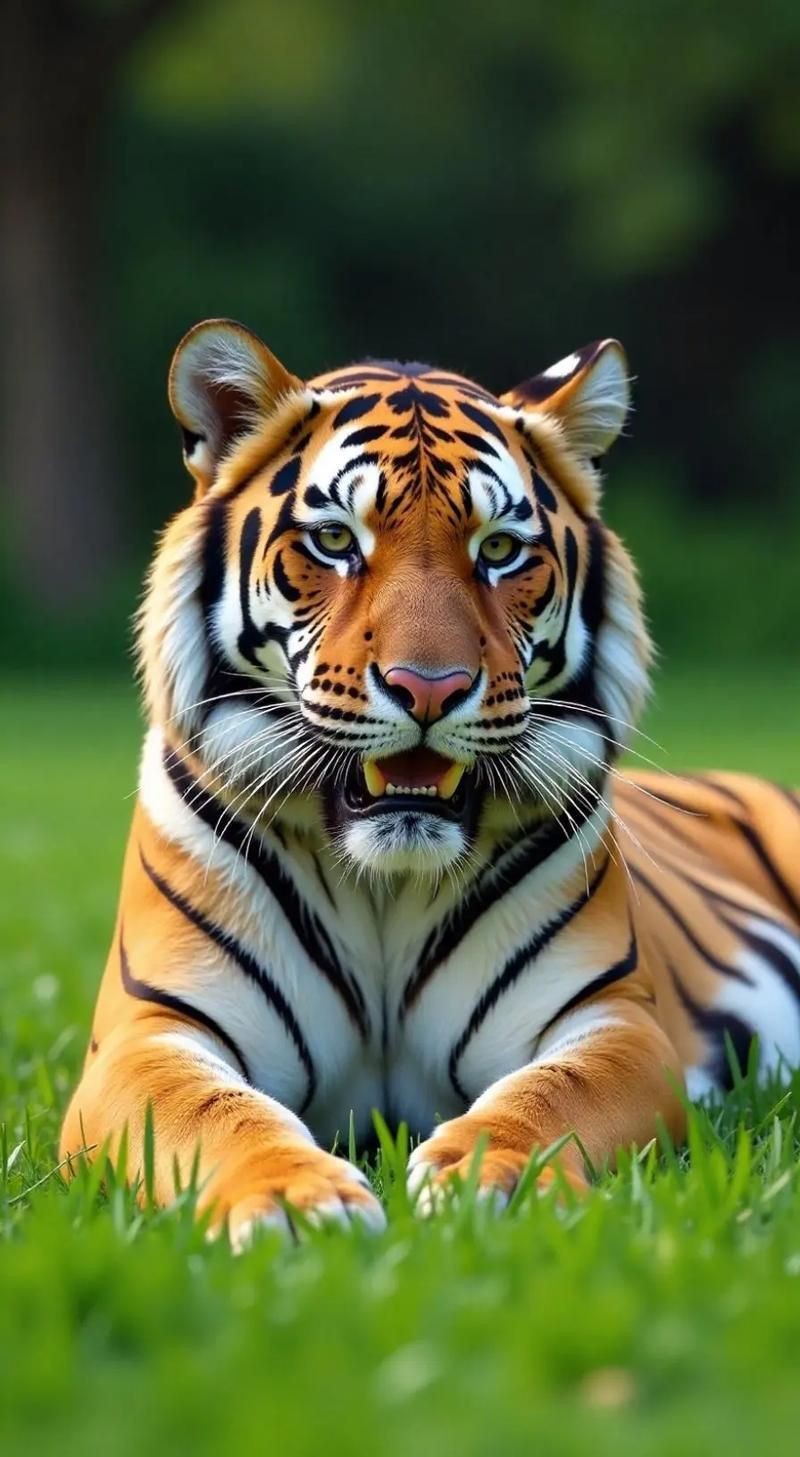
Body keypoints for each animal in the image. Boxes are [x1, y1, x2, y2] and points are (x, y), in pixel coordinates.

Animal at [60, 319, 800, 1245]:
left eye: (499, 551)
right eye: (336, 541)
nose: (429, 687)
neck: (385, 883)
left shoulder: (615, 1021)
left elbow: (554, 1096)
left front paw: (493, 1176)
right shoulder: (152, 1029)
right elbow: (210, 1111)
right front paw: (295, 1199)